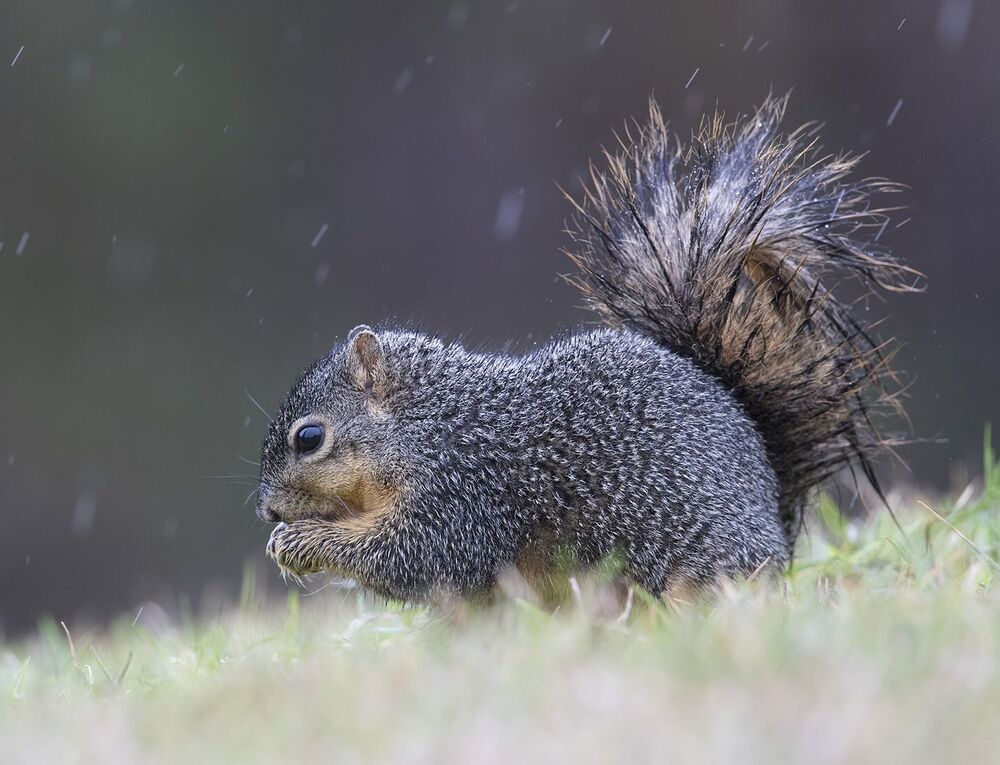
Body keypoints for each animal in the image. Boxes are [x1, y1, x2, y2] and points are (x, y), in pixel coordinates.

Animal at [256, 95, 921, 601]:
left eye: (309, 438)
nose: (267, 512)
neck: (430, 422)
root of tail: (774, 515)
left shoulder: (466, 489)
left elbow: (414, 555)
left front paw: (300, 543)